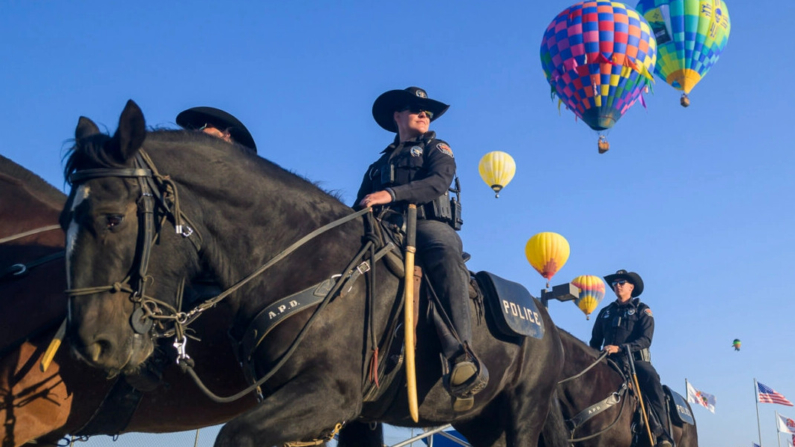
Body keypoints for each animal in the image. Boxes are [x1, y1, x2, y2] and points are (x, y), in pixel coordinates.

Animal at [63, 101, 572, 447]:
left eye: (112, 218)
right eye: (65, 218)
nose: (91, 343)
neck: (299, 260)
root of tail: (548, 326)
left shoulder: (329, 394)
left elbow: (233, 434)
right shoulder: (321, 407)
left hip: (523, 410)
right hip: (483, 423)